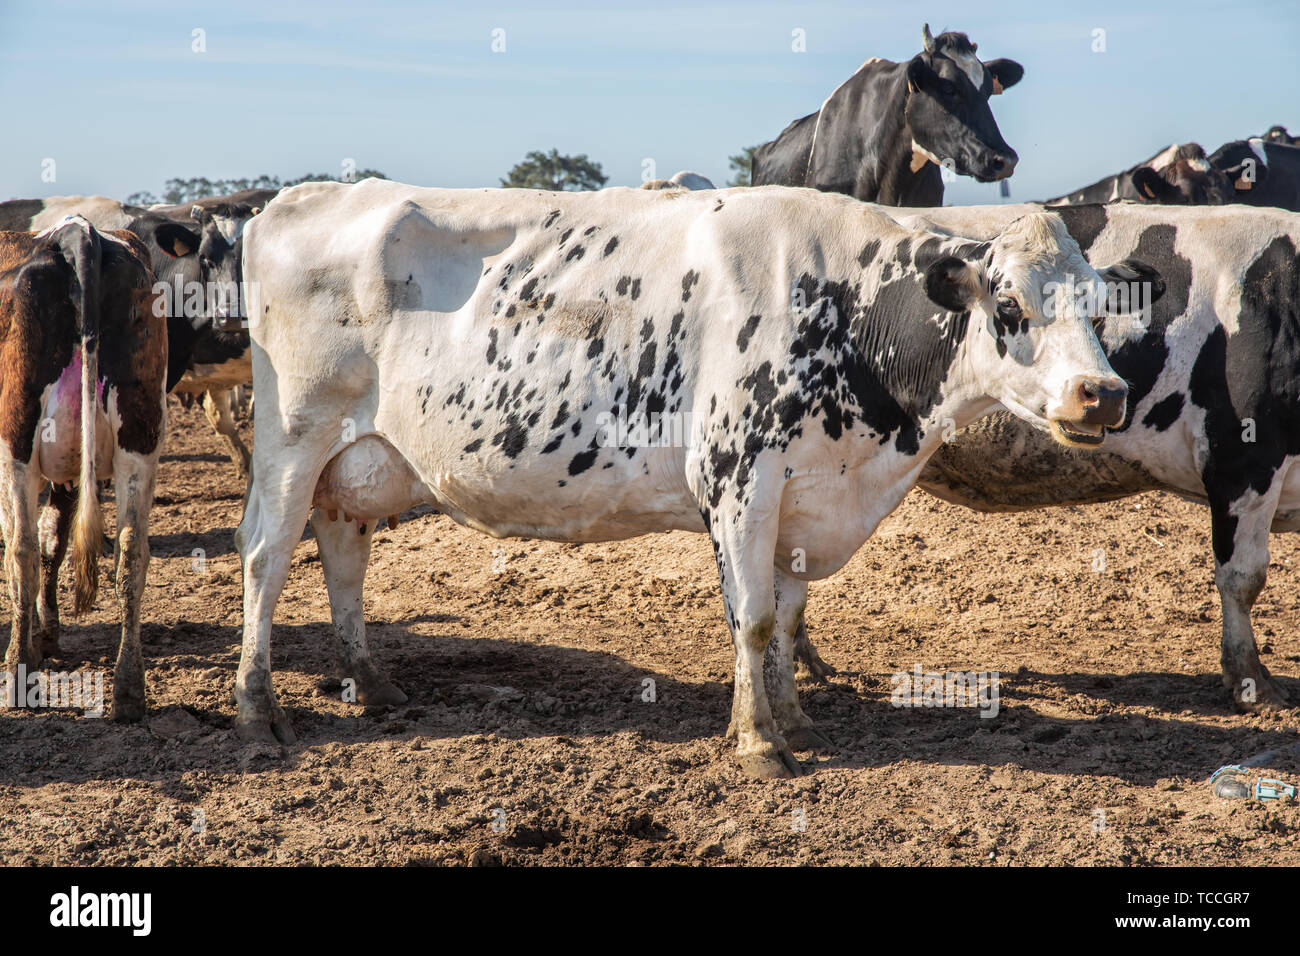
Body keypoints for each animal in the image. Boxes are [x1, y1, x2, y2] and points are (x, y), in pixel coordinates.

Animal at [0, 216, 167, 721]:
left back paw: (16, 672)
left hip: (16, 438)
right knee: (131, 552)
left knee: (21, 549)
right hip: (140, 434)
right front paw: (48, 634)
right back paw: (128, 691)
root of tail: (78, 231)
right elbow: (56, 537)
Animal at [231, 178, 1163, 777]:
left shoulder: (808, 498)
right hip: (292, 438)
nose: (1105, 393)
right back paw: (257, 708)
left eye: (1098, 304)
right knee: (265, 561)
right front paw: (758, 744)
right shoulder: (740, 479)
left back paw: (373, 683)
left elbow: (787, 617)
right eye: (1009, 308)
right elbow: (752, 618)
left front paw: (794, 717)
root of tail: (298, 195)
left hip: (360, 460)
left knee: (343, 557)